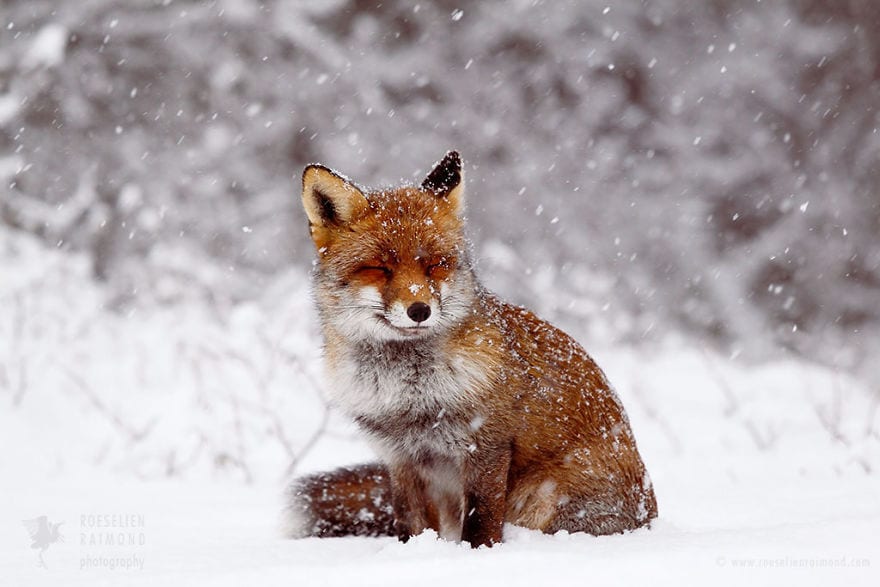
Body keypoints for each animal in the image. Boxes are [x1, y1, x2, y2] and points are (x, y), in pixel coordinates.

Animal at [286, 150, 656, 548]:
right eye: (379, 268)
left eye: (435, 264)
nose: (420, 310)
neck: (410, 395)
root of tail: (650, 518)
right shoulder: (400, 459)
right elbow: (410, 525)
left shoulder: (486, 448)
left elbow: (481, 523)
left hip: (545, 497)